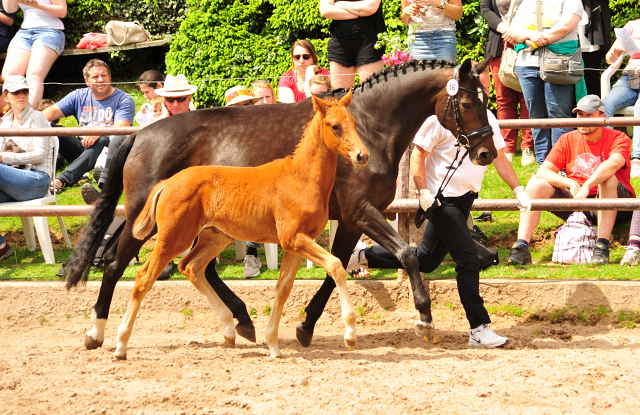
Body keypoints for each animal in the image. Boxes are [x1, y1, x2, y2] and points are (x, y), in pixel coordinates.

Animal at [112, 91, 368, 360]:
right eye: (335, 126)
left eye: (353, 122)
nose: (362, 156)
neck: (301, 178)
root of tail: (167, 182)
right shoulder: (294, 239)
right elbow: (336, 266)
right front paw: (350, 334)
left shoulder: (296, 244)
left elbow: (283, 288)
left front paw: (273, 345)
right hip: (173, 239)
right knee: (144, 278)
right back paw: (120, 345)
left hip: (214, 237)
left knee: (191, 267)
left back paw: (229, 330)